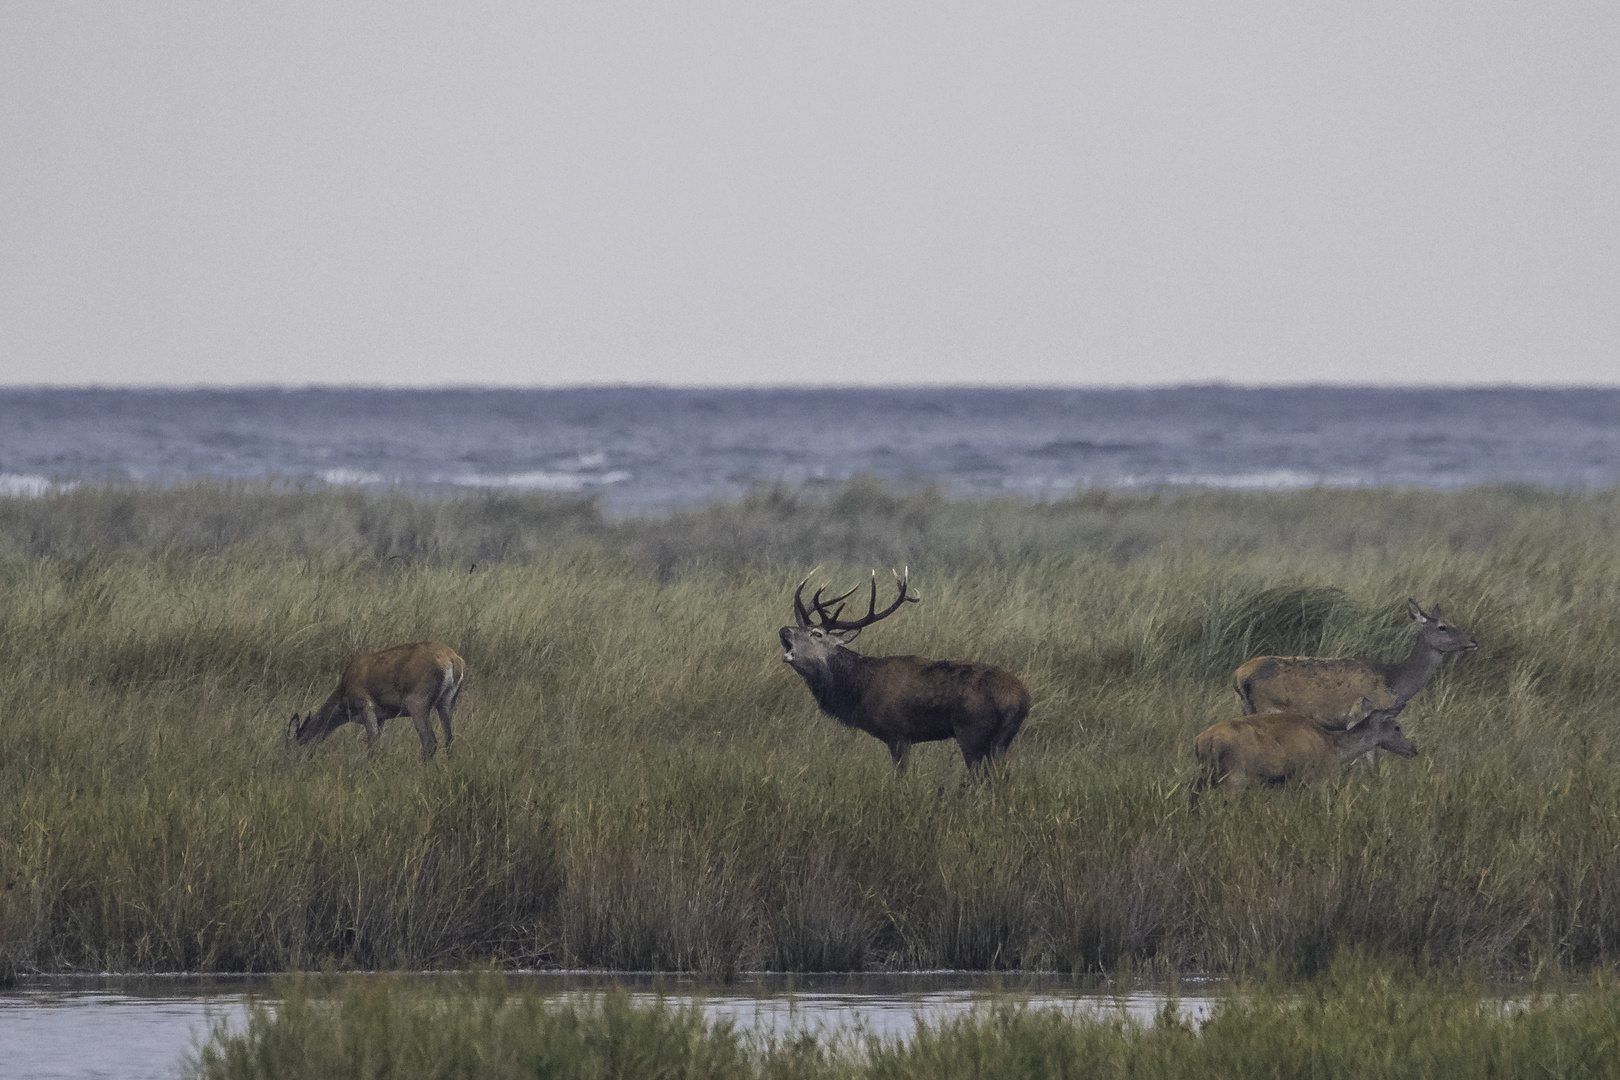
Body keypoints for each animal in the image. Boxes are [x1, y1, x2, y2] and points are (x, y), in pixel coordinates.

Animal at [285, 641, 460, 761]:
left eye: (289, 746)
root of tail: (453, 660)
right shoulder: (381, 718)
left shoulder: (366, 708)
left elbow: (373, 746)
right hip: (446, 703)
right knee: (449, 739)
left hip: (418, 705)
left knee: (430, 742)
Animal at [780, 569, 1030, 773]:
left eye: (817, 633)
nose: (784, 630)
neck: (859, 691)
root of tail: (1021, 698)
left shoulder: (898, 733)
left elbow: (901, 774)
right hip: (1002, 739)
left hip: (972, 731)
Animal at [1192, 696, 1419, 806]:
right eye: (1397, 727)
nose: (1413, 749)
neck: (1335, 749)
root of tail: (1203, 740)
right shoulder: (1316, 780)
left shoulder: (1289, 783)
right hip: (1235, 776)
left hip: (1203, 775)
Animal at [1231, 599, 1477, 725]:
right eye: (1442, 627)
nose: (1473, 640)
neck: (1393, 684)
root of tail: (1238, 675)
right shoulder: (1358, 715)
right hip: (1267, 707)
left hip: (1246, 708)